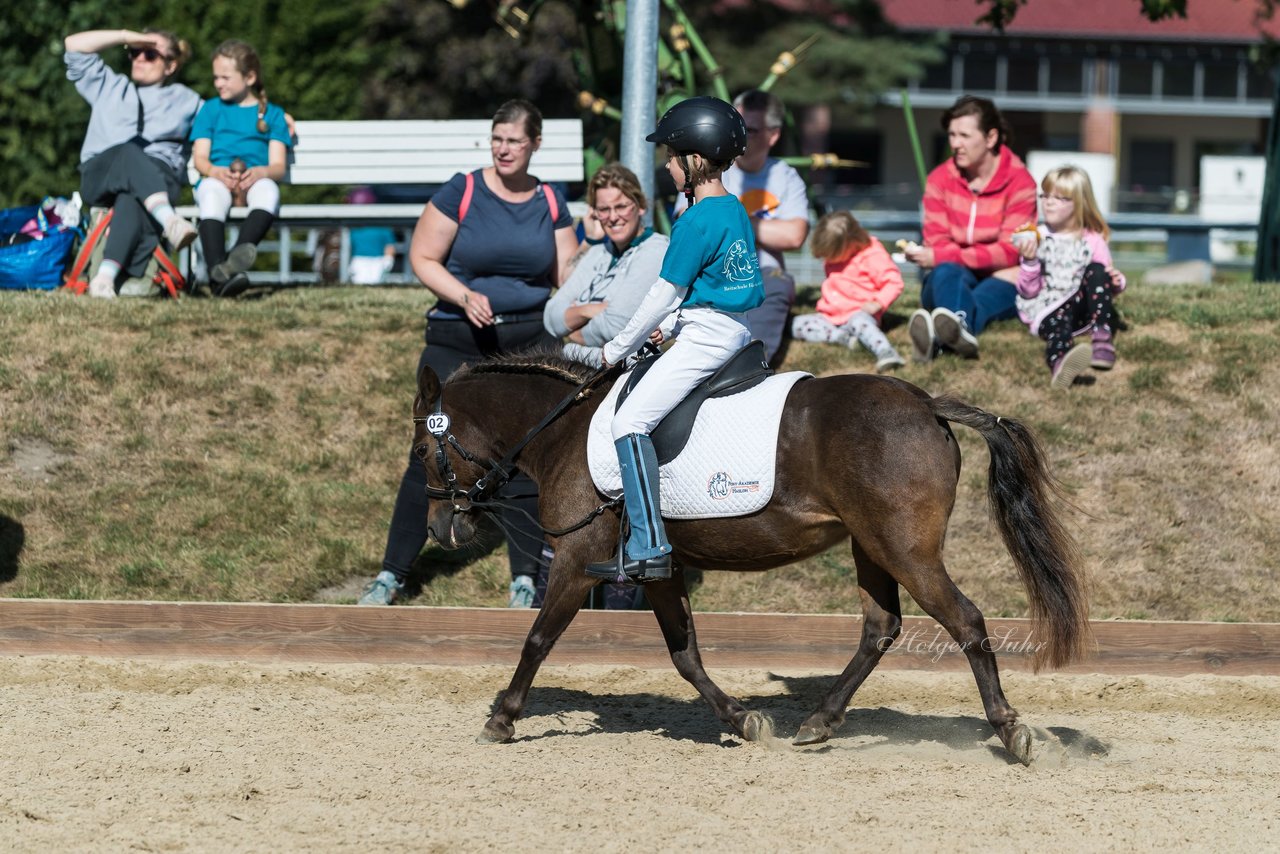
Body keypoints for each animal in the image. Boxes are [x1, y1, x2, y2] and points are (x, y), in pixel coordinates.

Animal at [412, 350, 1090, 763]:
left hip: (905, 549)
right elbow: (685, 655)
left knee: (966, 621)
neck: (563, 433)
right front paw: (742, 720)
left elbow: (536, 640)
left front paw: (502, 719)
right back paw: (818, 721)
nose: (442, 527)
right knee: (881, 627)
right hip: (872, 545)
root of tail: (925, 402)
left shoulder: (579, 558)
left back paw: (1011, 731)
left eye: (422, 449)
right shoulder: (660, 569)